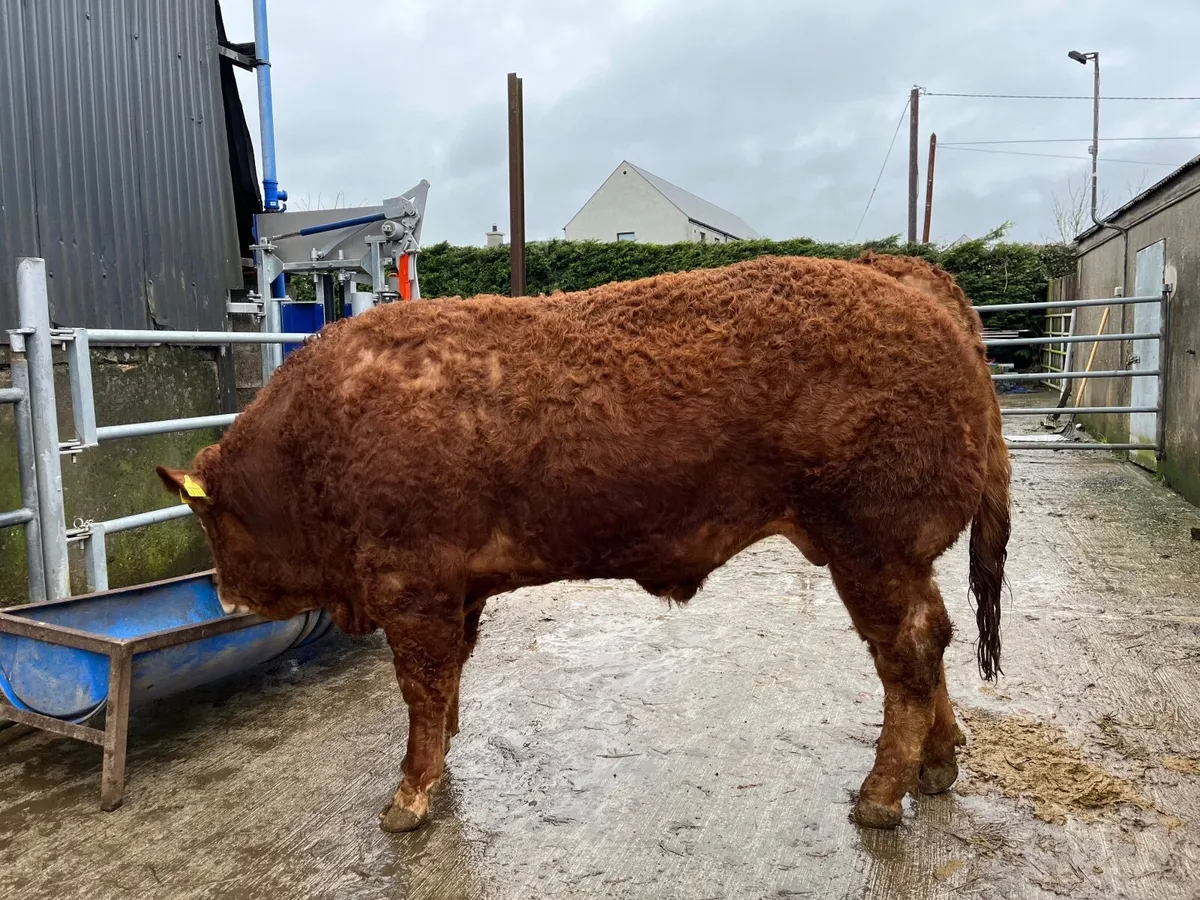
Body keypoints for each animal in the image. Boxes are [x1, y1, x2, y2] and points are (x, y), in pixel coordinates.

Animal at [157, 254, 1010, 834]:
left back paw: (880, 796)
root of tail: (900, 278)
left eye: (209, 522)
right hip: (896, 557)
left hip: (869, 547)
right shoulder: (457, 594)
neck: (318, 437)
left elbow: (422, 691)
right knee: (933, 643)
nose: (224, 591)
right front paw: (441, 766)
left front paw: (408, 796)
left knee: (908, 652)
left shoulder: (414, 587)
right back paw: (938, 765)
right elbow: (450, 686)